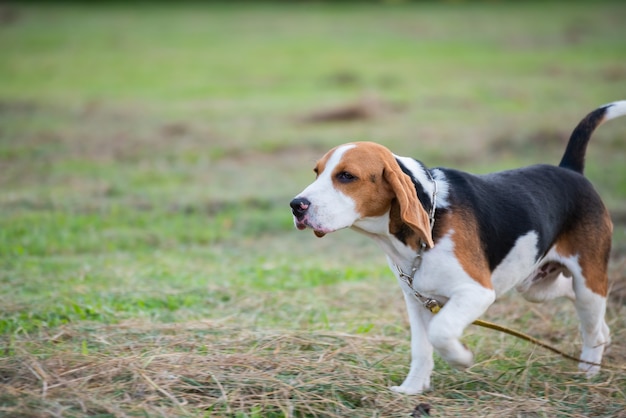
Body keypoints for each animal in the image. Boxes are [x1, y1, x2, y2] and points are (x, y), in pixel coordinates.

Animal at [290, 99, 620, 394]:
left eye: (347, 176)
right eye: (317, 172)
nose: (296, 205)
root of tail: (570, 170)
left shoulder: (476, 292)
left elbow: (441, 331)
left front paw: (461, 358)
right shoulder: (416, 301)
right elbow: (421, 348)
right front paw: (412, 389)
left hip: (586, 280)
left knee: (591, 318)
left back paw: (589, 369)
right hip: (535, 286)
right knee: (585, 309)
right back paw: (601, 346)